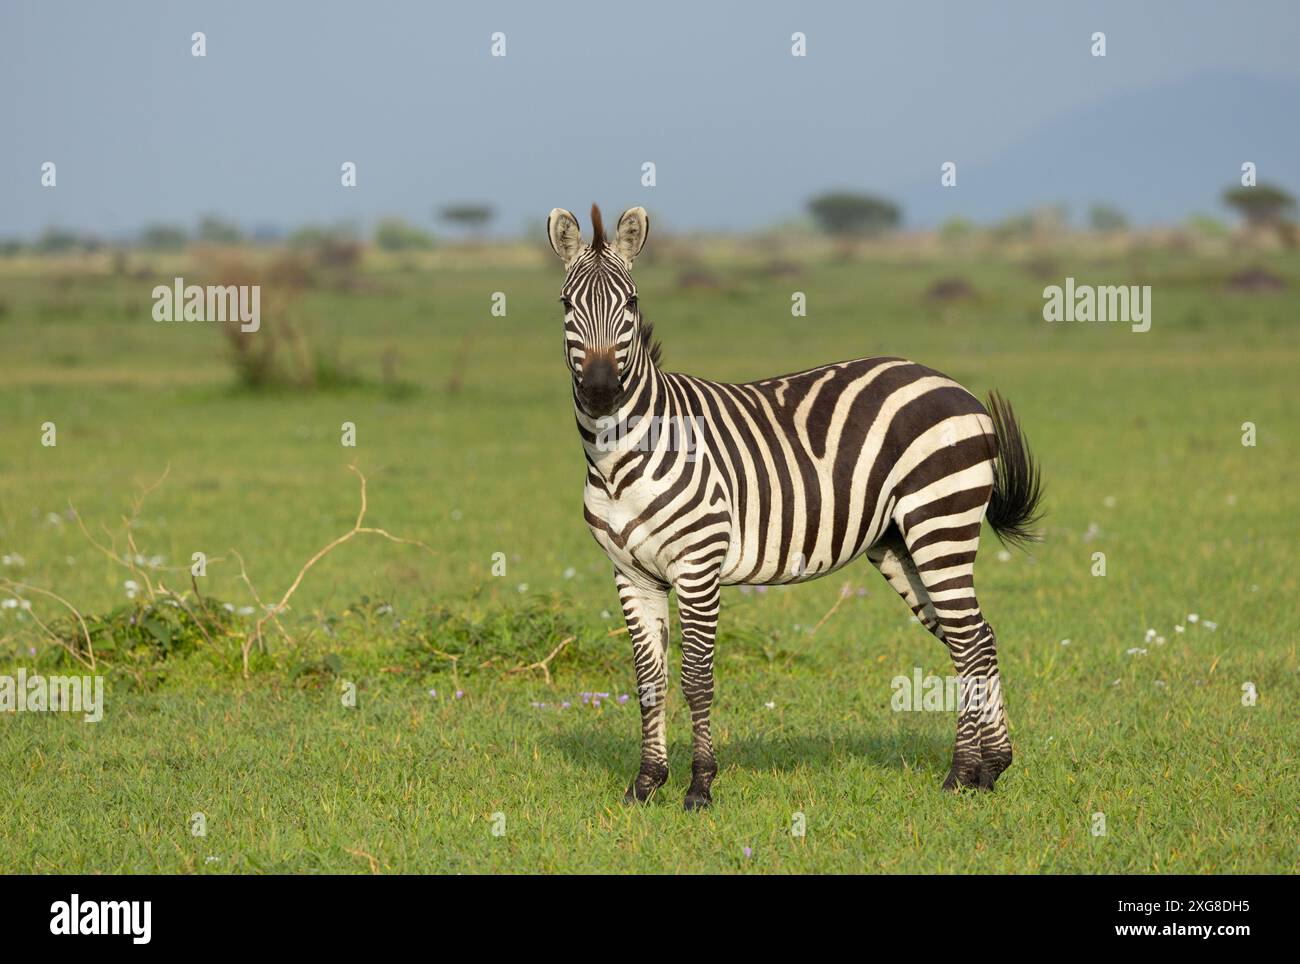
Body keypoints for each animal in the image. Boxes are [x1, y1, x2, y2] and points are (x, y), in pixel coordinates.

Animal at [543, 205, 1040, 815]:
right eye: (566, 304)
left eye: (631, 304)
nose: (600, 391)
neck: (620, 456)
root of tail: (955, 388)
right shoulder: (630, 573)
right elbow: (648, 680)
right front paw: (645, 783)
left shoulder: (698, 566)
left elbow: (696, 678)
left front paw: (699, 786)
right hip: (900, 543)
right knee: (975, 638)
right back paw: (990, 768)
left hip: (939, 523)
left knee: (969, 642)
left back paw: (961, 773)